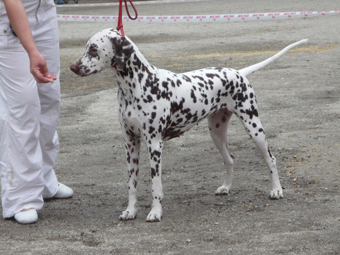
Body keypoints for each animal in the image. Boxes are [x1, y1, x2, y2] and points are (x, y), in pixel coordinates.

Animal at [69, 28, 308, 221]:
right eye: (87, 47)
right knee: (230, 159)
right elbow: (132, 185)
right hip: (216, 132)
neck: (139, 85)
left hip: (254, 127)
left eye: (93, 49)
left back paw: (276, 190)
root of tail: (238, 72)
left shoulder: (154, 145)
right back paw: (226, 188)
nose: (72, 67)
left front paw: (155, 212)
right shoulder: (130, 144)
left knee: (271, 159)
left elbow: (155, 185)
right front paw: (130, 211)